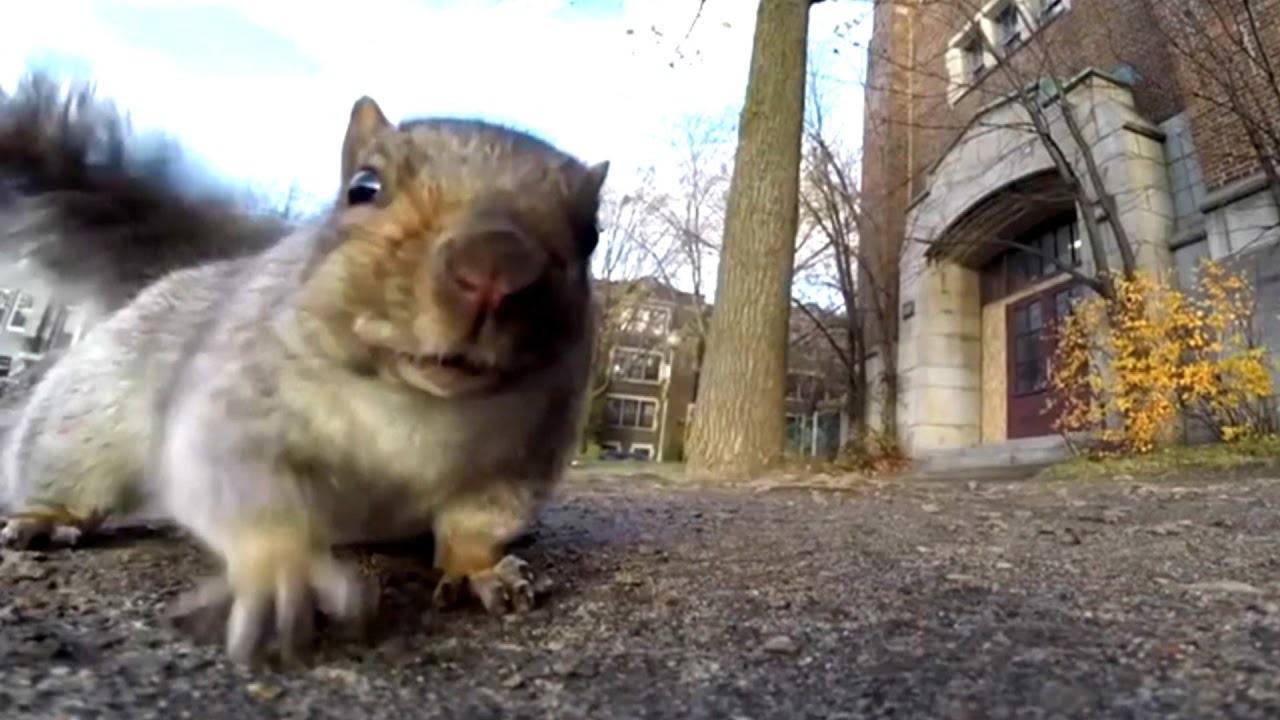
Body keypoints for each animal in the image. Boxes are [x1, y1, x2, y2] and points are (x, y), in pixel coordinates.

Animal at [0, 70, 609, 666]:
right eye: (364, 187)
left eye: (591, 235)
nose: (495, 265)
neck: (420, 404)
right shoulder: (233, 394)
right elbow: (233, 477)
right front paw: (279, 569)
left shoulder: (524, 454)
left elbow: (482, 518)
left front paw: (483, 567)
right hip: (90, 407)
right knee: (66, 459)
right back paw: (47, 518)